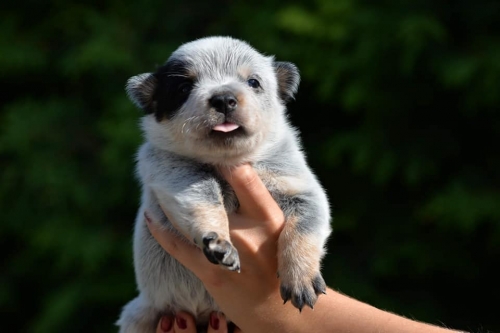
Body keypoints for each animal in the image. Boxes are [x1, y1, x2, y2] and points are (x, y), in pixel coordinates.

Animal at [117, 37, 332, 332]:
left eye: (253, 82)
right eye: (183, 88)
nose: (223, 98)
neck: (228, 160)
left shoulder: (300, 187)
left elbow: (304, 228)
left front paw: (301, 277)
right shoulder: (174, 173)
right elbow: (206, 199)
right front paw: (219, 241)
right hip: (140, 315)